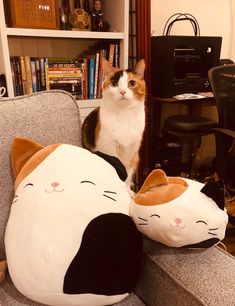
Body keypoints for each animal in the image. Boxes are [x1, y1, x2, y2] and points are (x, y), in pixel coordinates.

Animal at [81, 58, 146, 186]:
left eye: (132, 83)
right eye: (114, 83)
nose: (122, 91)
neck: (124, 114)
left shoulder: (131, 154)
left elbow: (127, 176)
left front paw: (127, 190)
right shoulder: (108, 149)